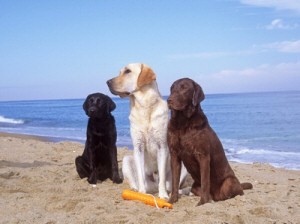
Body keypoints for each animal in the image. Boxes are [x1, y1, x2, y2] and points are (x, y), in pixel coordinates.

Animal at [168, 78, 252, 206]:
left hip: (229, 182)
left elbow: (205, 181)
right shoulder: (174, 155)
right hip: (194, 186)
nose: (169, 100)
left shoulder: (203, 156)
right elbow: (174, 181)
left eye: (184, 88)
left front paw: (202, 203)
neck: (183, 123)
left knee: (236, 192)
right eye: (172, 88)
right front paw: (172, 200)